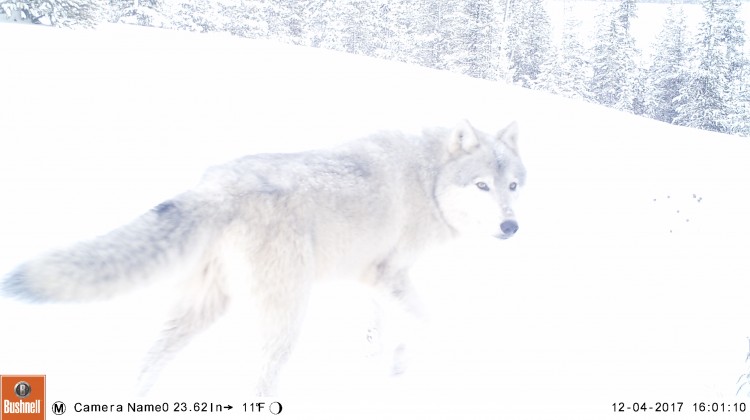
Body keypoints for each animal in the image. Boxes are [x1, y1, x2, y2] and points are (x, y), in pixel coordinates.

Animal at [0, 120, 528, 396]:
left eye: (513, 186)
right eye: (482, 186)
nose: (511, 227)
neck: (428, 179)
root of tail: (215, 186)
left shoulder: (371, 277)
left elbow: (378, 321)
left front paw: (375, 352)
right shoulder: (389, 275)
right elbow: (426, 324)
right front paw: (397, 366)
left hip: (204, 308)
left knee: (150, 361)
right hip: (286, 318)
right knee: (257, 383)